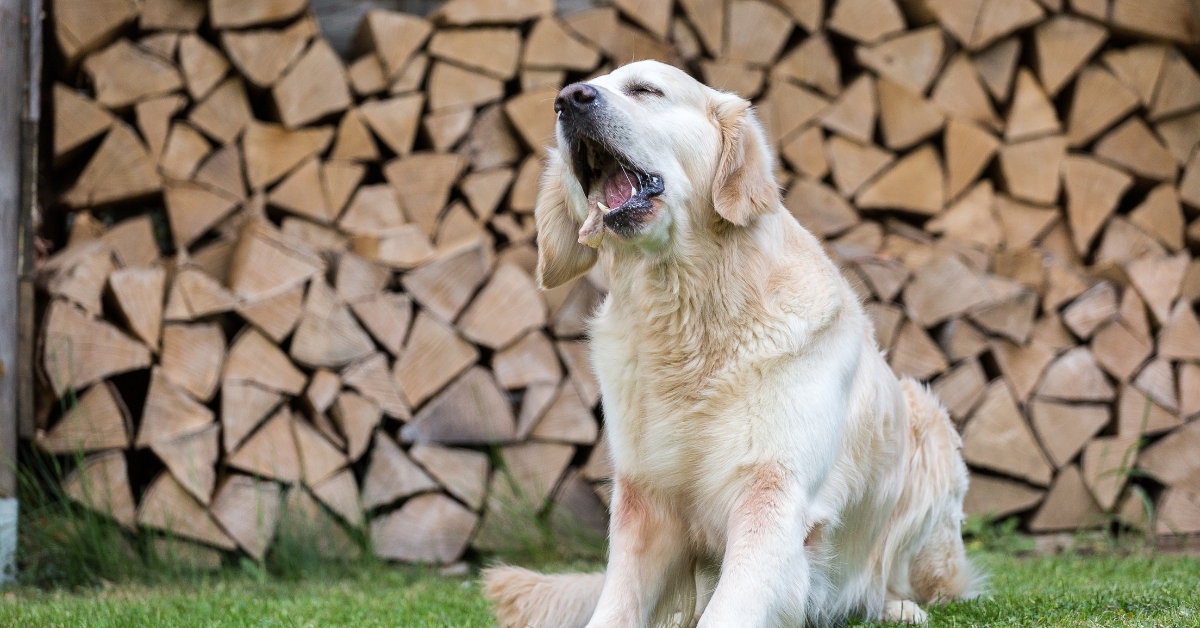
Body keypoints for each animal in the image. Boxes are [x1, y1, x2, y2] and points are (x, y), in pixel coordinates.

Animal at [477, 60, 974, 628]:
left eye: (645, 89)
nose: (568, 100)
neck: (689, 315)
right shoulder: (645, 500)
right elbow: (617, 603)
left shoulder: (772, 495)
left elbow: (731, 607)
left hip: (930, 429)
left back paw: (896, 605)